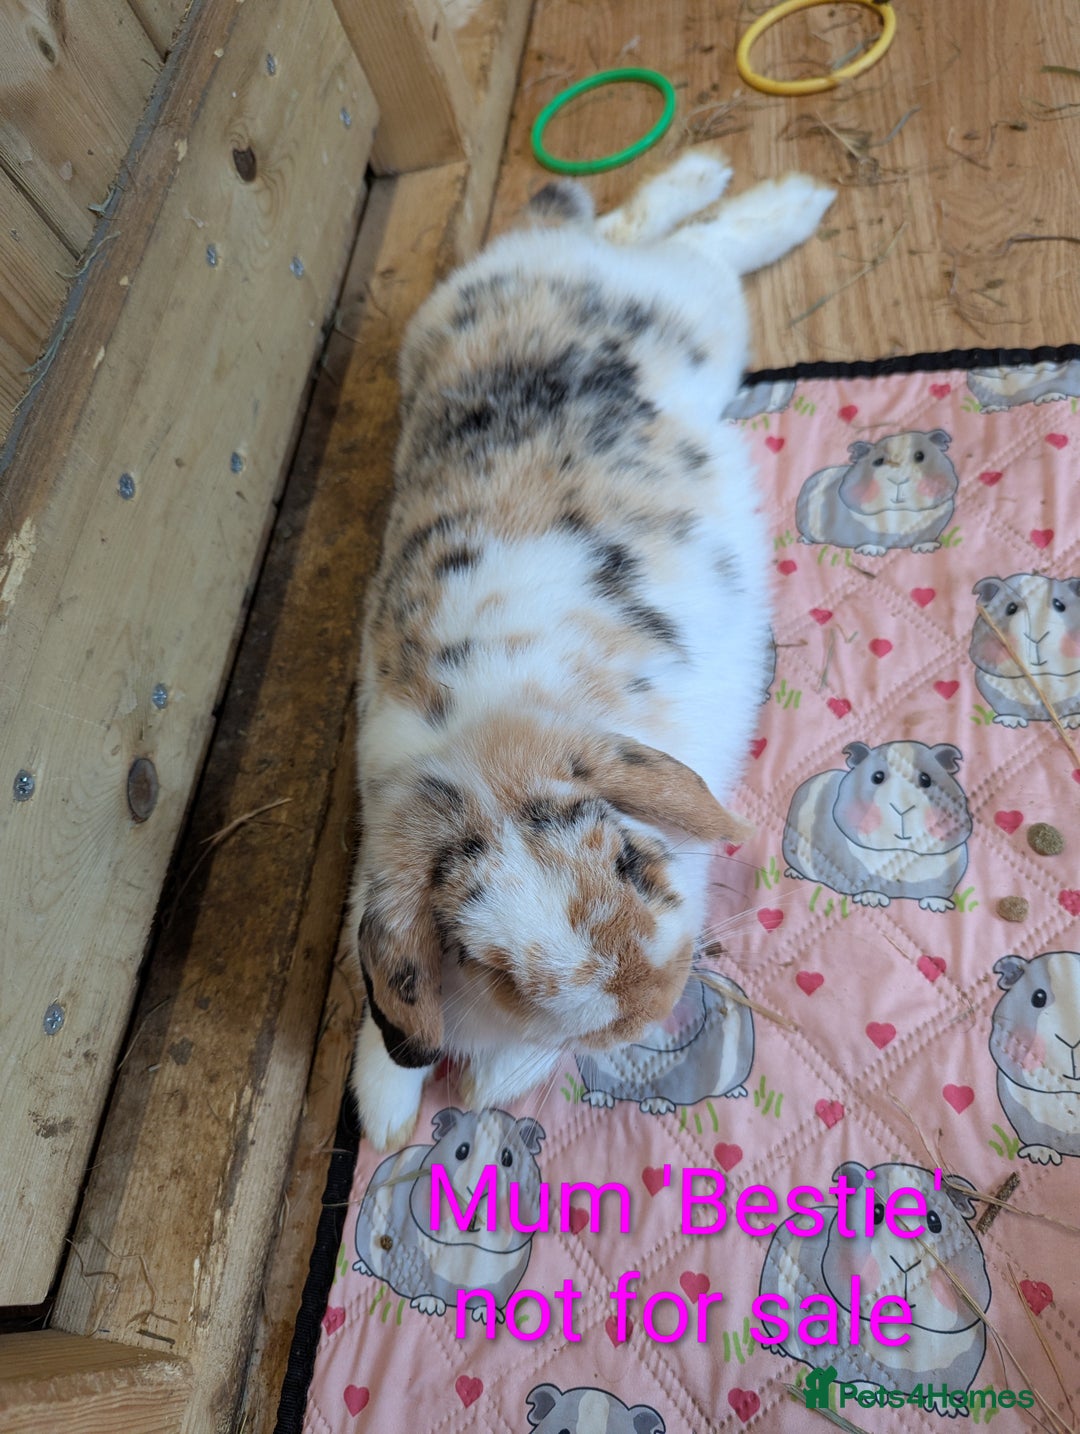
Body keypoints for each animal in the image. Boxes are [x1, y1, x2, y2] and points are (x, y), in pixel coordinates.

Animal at [345, 147, 836, 1151]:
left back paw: (774, 195)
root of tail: (528, 265)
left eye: (631, 861)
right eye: (490, 965)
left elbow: (511, 1066)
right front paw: (386, 1113)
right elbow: (386, 1031)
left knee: (699, 241)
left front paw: (488, 1081)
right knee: (623, 223)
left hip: (702, 314)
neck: (474, 748)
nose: (654, 999)